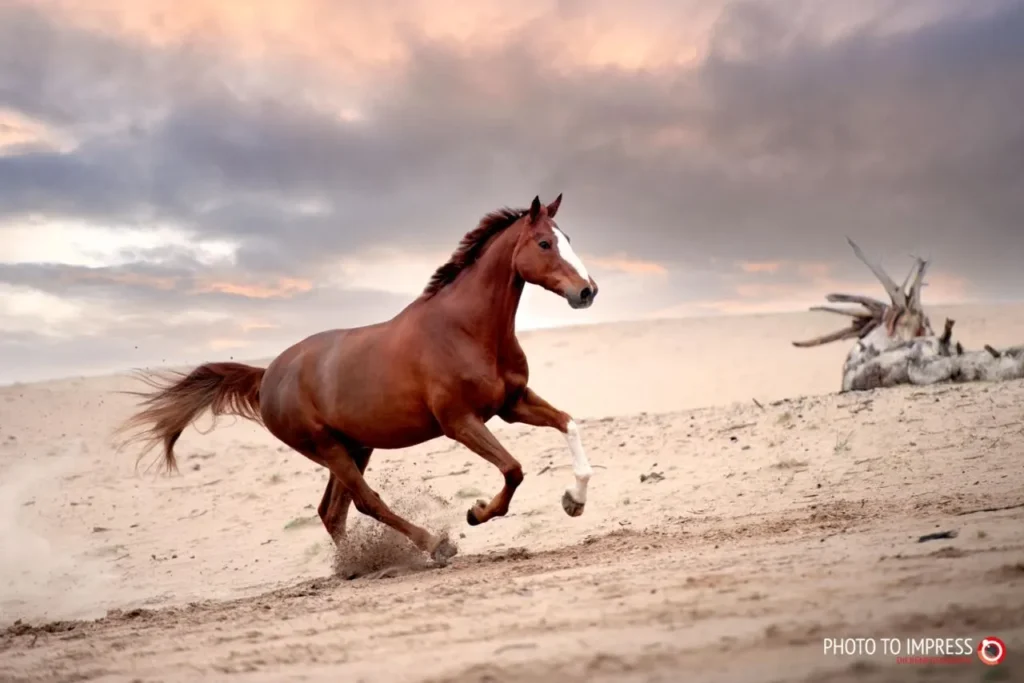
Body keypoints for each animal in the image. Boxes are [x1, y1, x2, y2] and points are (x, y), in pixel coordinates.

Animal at [119, 193, 598, 565]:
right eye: (544, 243)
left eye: (569, 240)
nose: (587, 291)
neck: (466, 329)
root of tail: (268, 374)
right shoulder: (460, 422)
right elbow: (514, 470)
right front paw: (476, 513)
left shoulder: (512, 404)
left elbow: (568, 423)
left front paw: (574, 501)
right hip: (328, 448)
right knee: (365, 502)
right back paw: (434, 545)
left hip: (355, 445)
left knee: (332, 512)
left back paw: (354, 566)